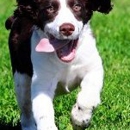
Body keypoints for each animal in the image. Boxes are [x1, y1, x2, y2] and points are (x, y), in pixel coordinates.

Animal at [5, 0, 112, 129]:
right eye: (50, 8)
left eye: (77, 6)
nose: (67, 28)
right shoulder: (42, 81)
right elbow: (43, 111)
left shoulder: (93, 67)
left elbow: (88, 98)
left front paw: (79, 119)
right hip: (21, 77)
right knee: (25, 108)